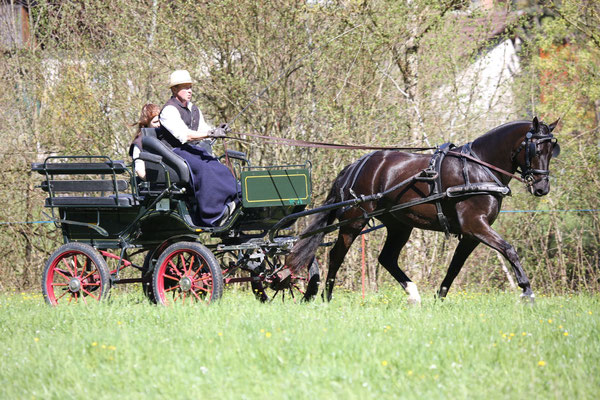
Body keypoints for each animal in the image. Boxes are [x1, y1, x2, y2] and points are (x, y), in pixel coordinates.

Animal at [286, 117, 556, 304]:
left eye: (552, 150)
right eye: (535, 149)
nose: (542, 187)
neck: (478, 168)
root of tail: (354, 166)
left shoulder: (470, 234)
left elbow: (455, 266)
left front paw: (440, 297)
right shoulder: (475, 225)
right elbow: (509, 250)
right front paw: (527, 290)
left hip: (399, 225)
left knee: (386, 258)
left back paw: (413, 293)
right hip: (353, 221)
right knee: (336, 255)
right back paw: (326, 296)